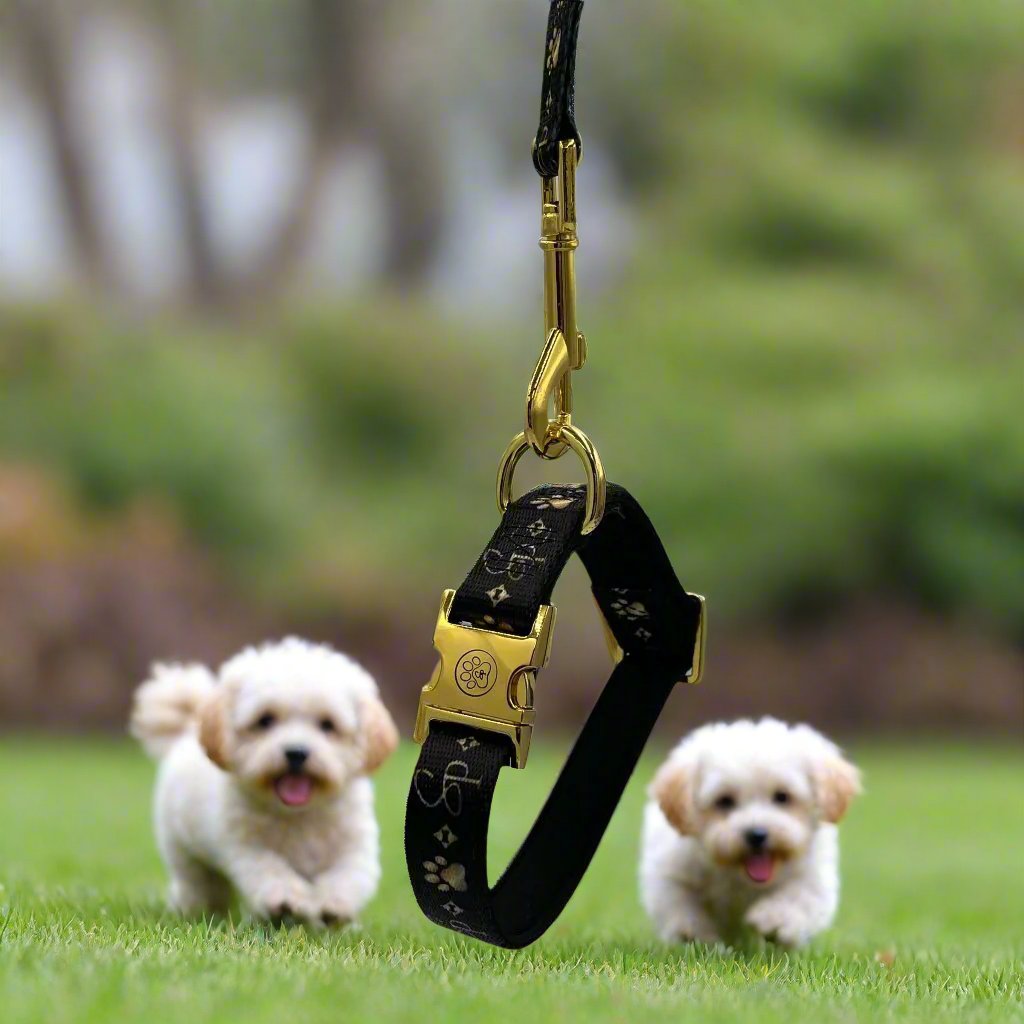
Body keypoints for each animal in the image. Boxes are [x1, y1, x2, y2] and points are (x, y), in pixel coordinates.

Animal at [129, 634, 399, 925]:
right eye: (265, 720)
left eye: (328, 724)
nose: (296, 752)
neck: (298, 814)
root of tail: (189, 727)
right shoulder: (248, 847)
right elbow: (271, 870)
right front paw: (286, 900)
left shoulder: (354, 844)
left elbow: (348, 874)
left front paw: (335, 903)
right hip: (183, 849)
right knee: (199, 883)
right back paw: (194, 909)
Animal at [643, 716, 860, 946]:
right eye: (724, 801)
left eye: (782, 796)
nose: (756, 834)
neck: (740, 876)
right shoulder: (670, 869)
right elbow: (679, 901)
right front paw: (693, 933)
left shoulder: (813, 876)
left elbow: (798, 896)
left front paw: (775, 919)